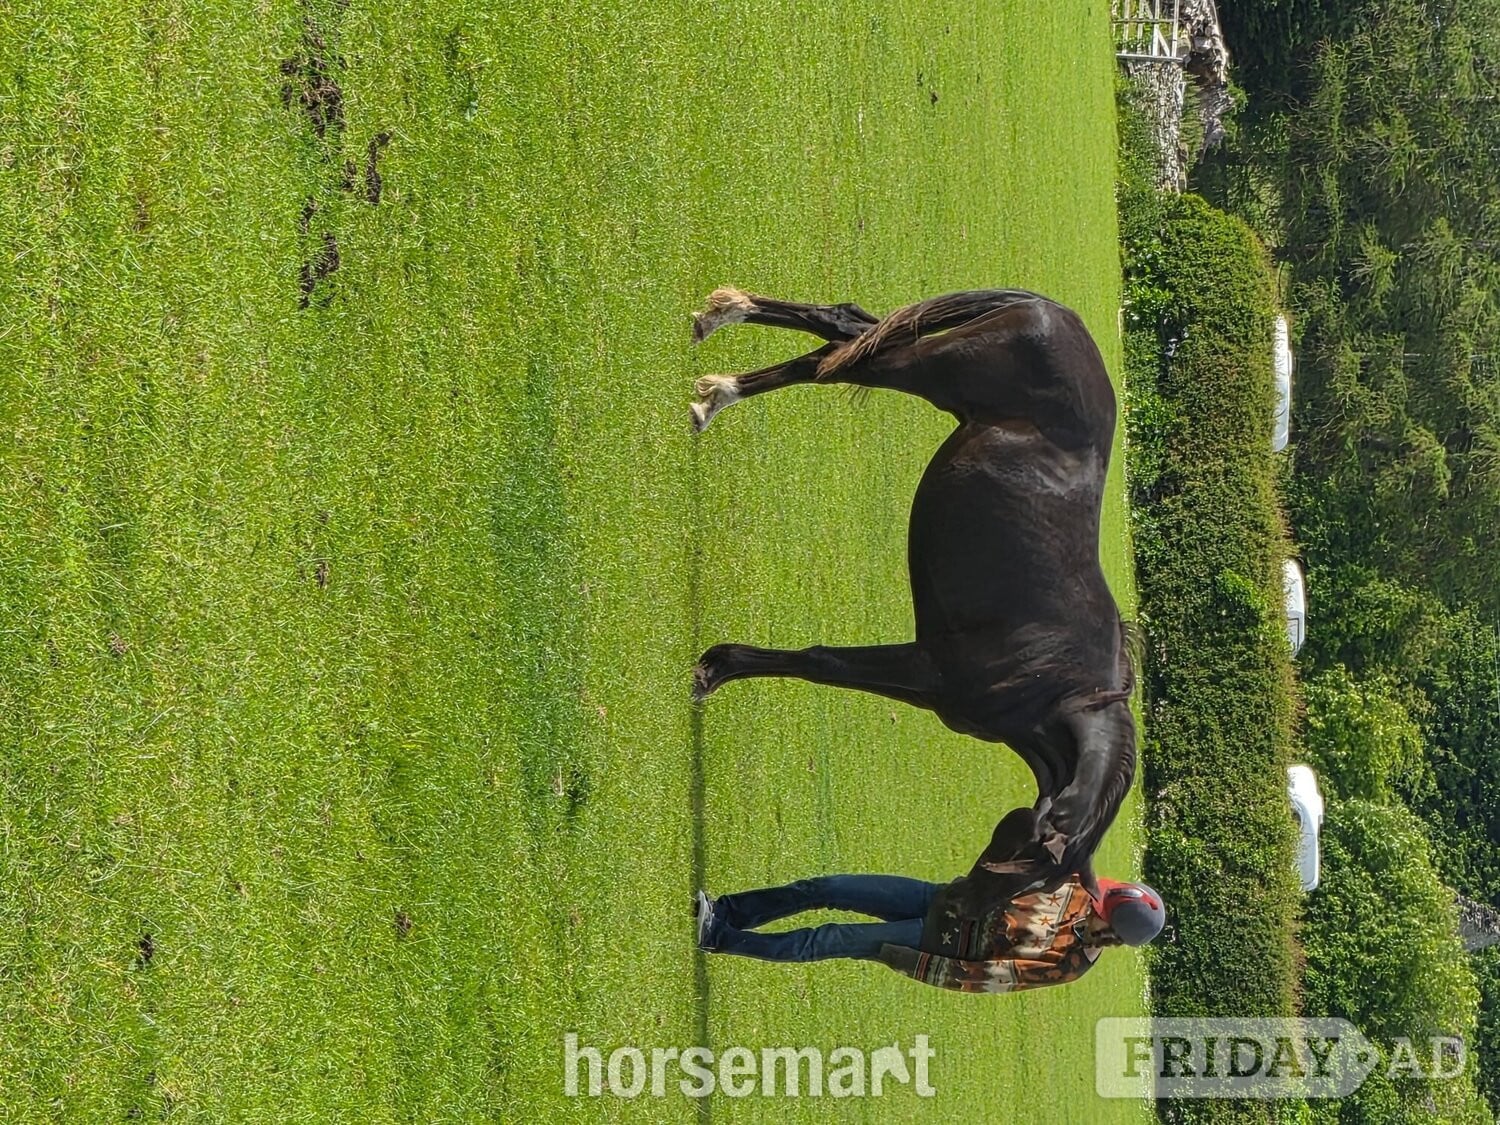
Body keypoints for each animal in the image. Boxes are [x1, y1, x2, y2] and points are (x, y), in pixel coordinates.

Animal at [687, 287, 1137, 896]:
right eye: (1022, 873)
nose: (949, 915)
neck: (1063, 686)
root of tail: (1053, 311)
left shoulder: (926, 687)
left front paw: (715, 667)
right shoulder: (929, 668)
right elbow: (821, 663)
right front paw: (714, 668)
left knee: (843, 329)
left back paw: (720, 340)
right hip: (919, 367)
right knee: (834, 359)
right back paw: (716, 384)